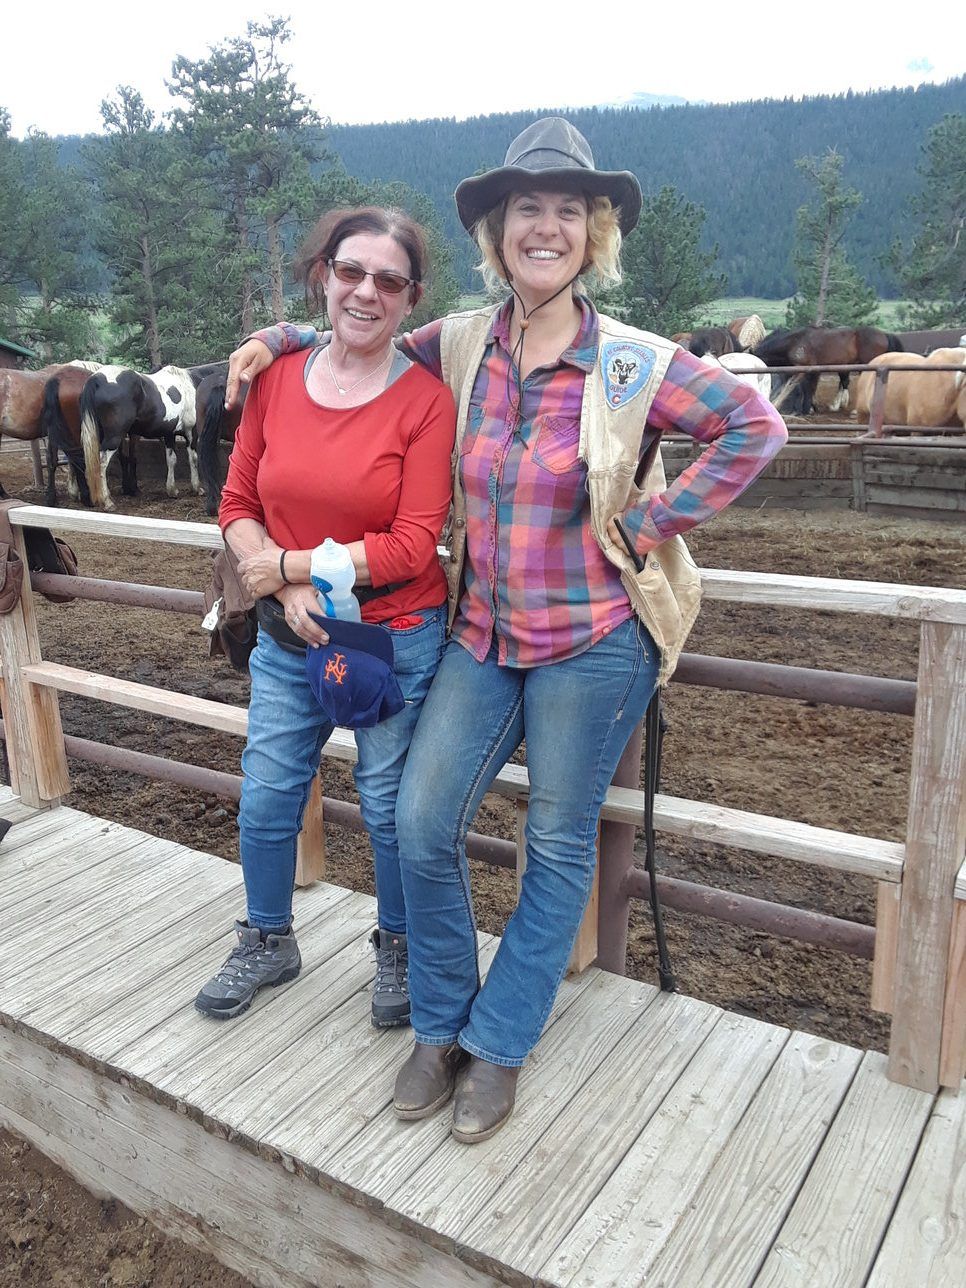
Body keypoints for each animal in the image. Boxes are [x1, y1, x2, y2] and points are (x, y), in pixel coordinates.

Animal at [753, 326, 904, 415]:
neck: (795, 342)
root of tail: (884, 334)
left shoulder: (802, 370)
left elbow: (791, 388)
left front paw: (777, 404)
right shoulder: (812, 371)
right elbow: (810, 388)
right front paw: (812, 407)